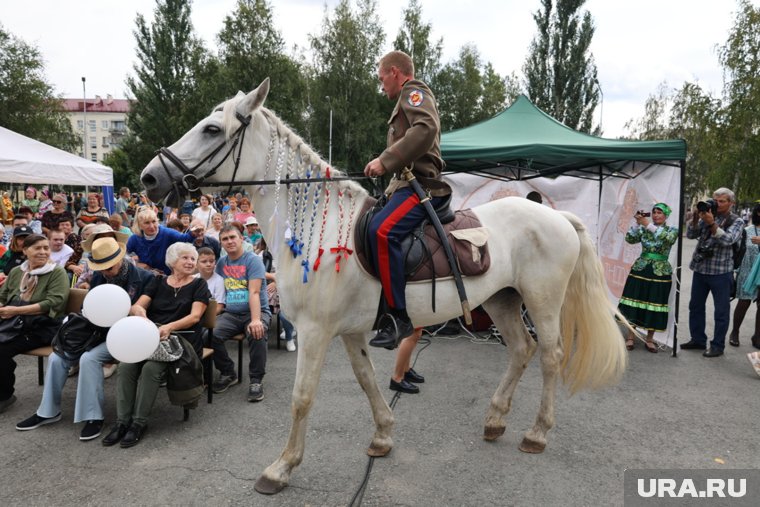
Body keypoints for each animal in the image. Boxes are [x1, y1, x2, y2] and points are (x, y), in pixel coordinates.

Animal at [140, 79, 628, 496]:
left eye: (211, 129)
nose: (149, 178)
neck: (319, 230)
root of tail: (558, 217)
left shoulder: (315, 331)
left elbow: (302, 398)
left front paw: (281, 468)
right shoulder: (351, 331)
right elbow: (367, 380)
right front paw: (383, 436)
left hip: (542, 302)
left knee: (550, 356)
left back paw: (537, 432)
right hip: (503, 301)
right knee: (522, 350)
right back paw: (495, 420)